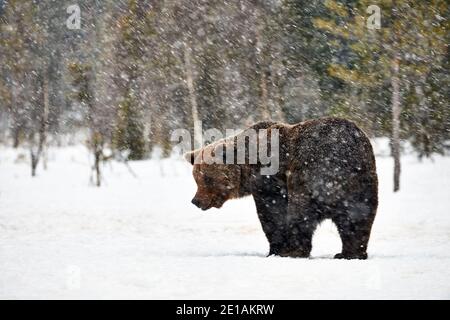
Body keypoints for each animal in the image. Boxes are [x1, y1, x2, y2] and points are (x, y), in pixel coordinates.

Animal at [185, 118, 378, 260]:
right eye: (196, 178)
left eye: (207, 179)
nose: (196, 201)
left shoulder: (269, 180)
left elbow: (273, 214)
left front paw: (276, 249)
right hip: (362, 181)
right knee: (358, 218)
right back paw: (350, 253)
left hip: (310, 174)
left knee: (301, 211)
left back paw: (295, 251)